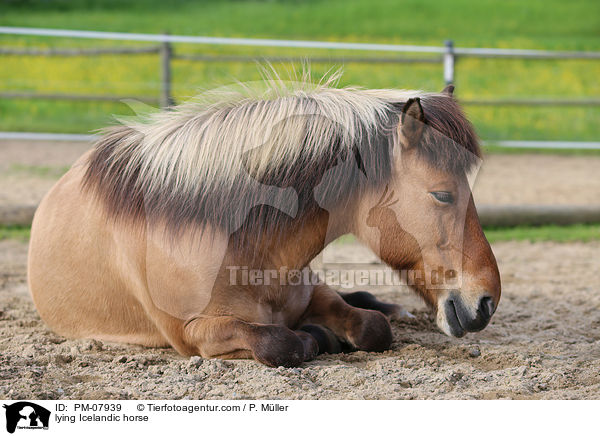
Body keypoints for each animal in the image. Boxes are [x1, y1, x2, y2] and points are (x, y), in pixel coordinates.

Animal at [28, 76, 500, 366]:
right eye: (443, 194)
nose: (486, 302)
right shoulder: (194, 334)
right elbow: (281, 341)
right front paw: (316, 336)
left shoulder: (314, 292)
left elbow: (372, 327)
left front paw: (357, 321)